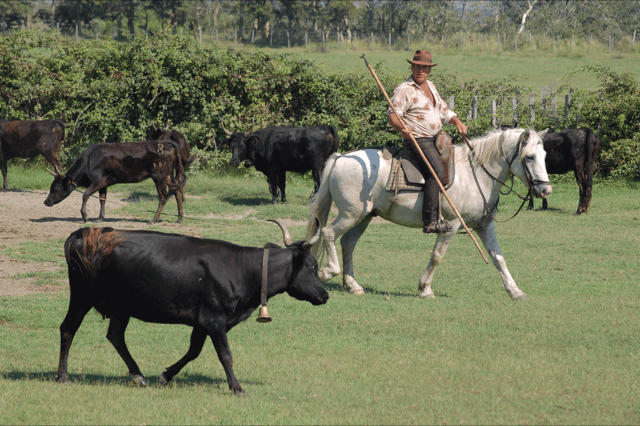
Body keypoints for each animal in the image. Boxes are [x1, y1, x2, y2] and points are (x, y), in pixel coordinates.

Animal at [43, 141, 185, 225]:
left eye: (56, 188)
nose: (46, 202)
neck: (89, 161)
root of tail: (167, 143)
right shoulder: (104, 184)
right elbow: (102, 199)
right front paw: (100, 218)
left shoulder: (99, 181)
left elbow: (85, 195)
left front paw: (85, 216)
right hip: (169, 175)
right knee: (177, 192)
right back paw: (179, 218)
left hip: (159, 177)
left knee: (163, 196)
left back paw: (154, 220)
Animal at [57, 221, 328, 394]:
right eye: (313, 266)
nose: (325, 295)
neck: (241, 268)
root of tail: (86, 232)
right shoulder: (214, 319)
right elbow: (226, 355)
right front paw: (237, 387)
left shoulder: (202, 321)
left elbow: (193, 351)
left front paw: (165, 376)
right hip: (81, 296)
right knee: (68, 328)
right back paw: (63, 376)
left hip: (122, 307)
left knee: (115, 336)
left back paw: (139, 376)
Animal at [304, 129, 552, 300]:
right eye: (530, 157)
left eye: (544, 154)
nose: (545, 190)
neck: (476, 174)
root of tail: (340, 158)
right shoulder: (451, 225)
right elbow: (437, 256)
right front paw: (425, 288)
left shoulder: (485, 225)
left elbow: (498, 258)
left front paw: (515, 291)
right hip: (350, 214)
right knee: (328, 233)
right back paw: (329, 273)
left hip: (363, 216)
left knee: (347, 243)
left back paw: (352, 285)